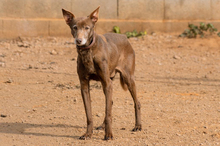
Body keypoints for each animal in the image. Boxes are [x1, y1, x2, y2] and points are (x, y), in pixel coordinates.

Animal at [62, 6, 141, 140]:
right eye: (74, 27)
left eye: (87, 28)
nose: (79, 40)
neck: (88, 52)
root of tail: (124, 37)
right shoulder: (84, 85)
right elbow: (89, 114)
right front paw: (88, 133)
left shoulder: (107, 82)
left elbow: (108, 112)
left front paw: (108, 134)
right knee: (111, 103)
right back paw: (103, 126)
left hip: (128, 78)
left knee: (137, 102)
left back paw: (138, 126)